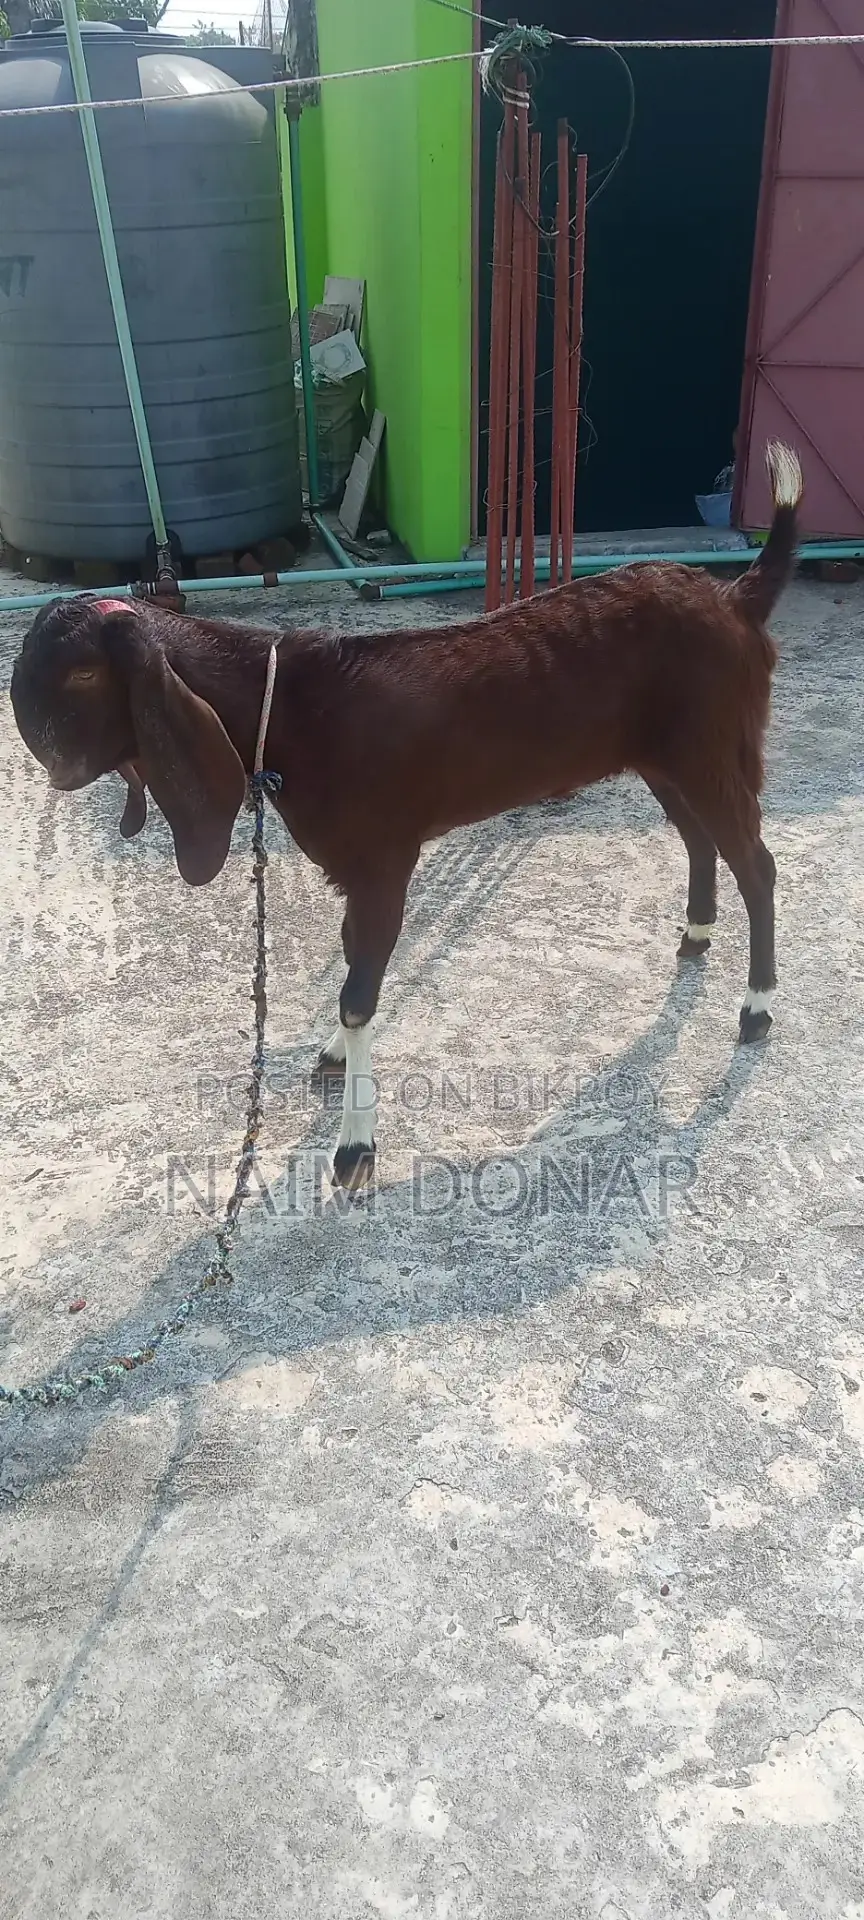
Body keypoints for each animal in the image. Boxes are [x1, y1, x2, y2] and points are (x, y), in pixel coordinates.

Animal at [10, 443, 802, 1190]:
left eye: (84, 672)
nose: (54, 766)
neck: (285, 708)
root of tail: (736, 598)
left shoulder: (384, 859)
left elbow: (358, 994)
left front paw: (354, 1147)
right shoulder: (352, 871)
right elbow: (353, 958)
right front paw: (334, 1060)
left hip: (710, 744)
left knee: (755, 862)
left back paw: (757, 1006)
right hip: (664, 757)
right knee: (700, 838)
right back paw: (696, 934)